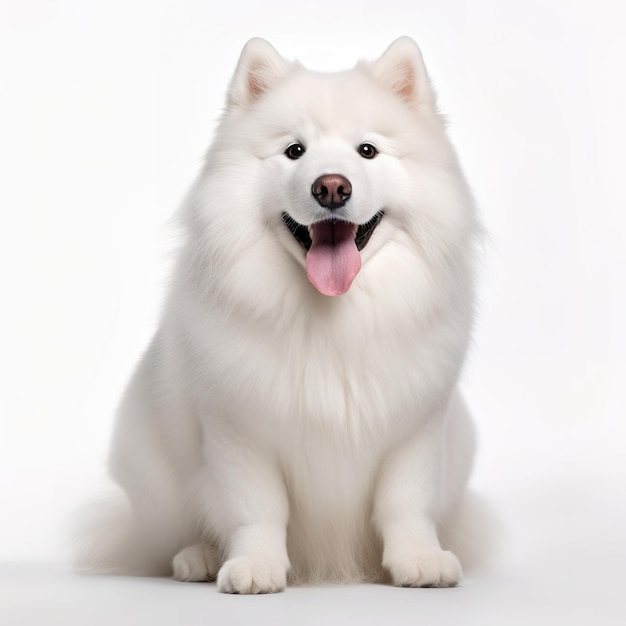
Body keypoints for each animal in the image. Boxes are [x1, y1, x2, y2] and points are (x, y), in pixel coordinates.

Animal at [74, 36, 482, 592]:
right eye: (295, 151)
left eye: (367, 151)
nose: (331, 187)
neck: (331, 315)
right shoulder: (238, 430)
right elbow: (258, 508)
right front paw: (254, 567)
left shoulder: (415, 428)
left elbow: (406, 501)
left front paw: (419, 560)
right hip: (149, 465)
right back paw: (199, 558)